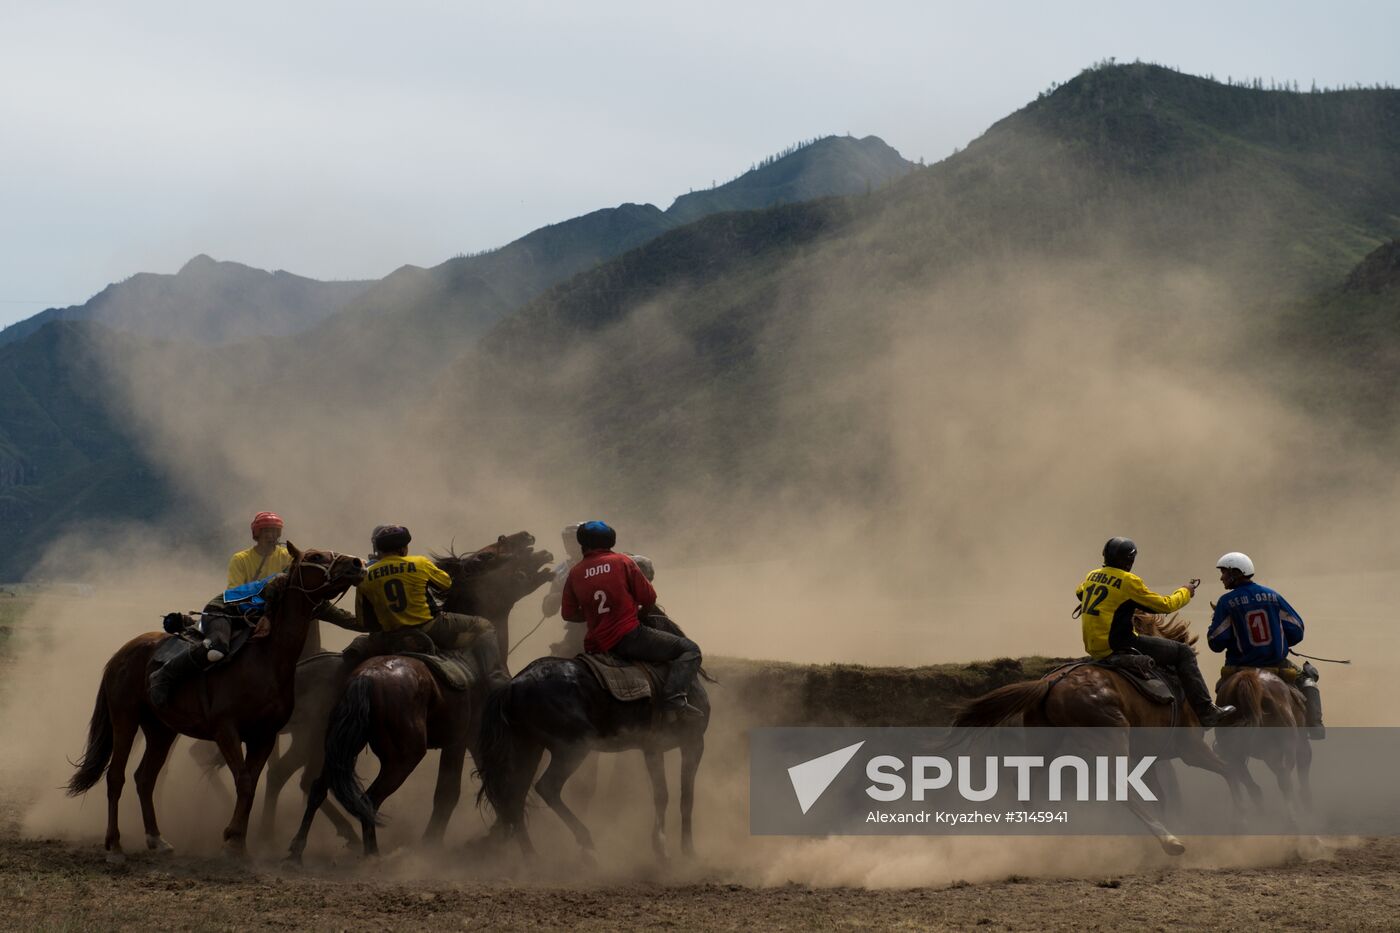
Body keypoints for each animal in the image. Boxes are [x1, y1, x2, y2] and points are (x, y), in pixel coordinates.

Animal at [66, 546, 364, 857]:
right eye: (316, 556)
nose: (357, 563)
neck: (266, 660)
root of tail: (122, 653)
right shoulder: (226, 731)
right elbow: (243, 781)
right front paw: (232, 839)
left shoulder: (265, 736)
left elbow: (251, 784)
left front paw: (239, 841)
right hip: (125, 719)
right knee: (116, 776)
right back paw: (114, 844)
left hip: (161, 730)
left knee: (145, 779)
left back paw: (157, 839)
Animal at [282, 529, 551, 857]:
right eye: (487, 555)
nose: (528, 538)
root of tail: (365, 678)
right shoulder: (463, 739)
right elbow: (453, 793)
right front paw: (432, 845)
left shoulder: (469, 740)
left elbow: (494, 786)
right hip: (403, 756)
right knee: (367, 800)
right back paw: (370, 854)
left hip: (338, 744)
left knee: (319, 786)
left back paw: (298, 850)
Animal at [957, 610, 1254, 851]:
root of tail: (1054, 683)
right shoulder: (1192, 750)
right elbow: (1228, 770)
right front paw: (1241, 816)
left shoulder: (1149, 760)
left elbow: (1160, 797)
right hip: (1112, 740)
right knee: (1118, 786)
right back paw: (1169, 841)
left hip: (1045, 745)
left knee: (1025, 783)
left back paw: (1051, 829)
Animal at [1215, 664, 1310, 823]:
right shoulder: (1299, 743)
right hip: (1279, 749)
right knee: (1284, 779)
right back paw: (1293, 821)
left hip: (1236, 754)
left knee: (1254, 787)